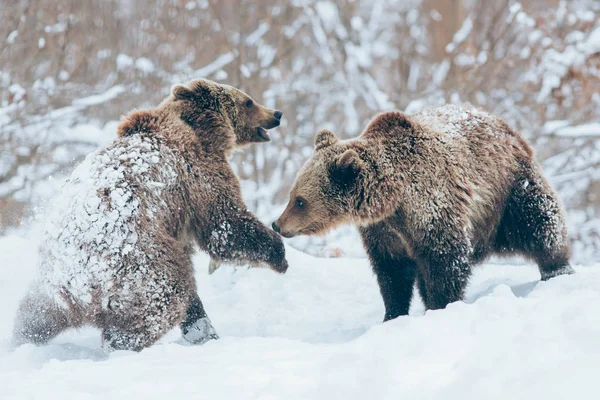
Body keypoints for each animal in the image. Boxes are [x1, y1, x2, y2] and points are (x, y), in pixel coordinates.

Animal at [12, 77, 288, 350]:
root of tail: (75, 285)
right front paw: (279, 254)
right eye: (248, 101)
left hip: (50, 289)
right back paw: (121, 343)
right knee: (166, 297)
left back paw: (20, 338)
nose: (276, 113)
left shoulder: (177, 218)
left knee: (35, 315)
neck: (201, 130)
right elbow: (224, 226)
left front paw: (200, 329)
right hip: (141, 261)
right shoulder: (197, 176)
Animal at [274, 104, 576, 322]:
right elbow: (392, 272)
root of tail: (503, 124)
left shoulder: (432, 207)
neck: (392, 201)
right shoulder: (384, 232)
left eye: (299, 201)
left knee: (540, 223)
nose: (278, 224)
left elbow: (444, 262)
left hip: (508, 190)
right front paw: (393, 314)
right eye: (293, 195)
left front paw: (441, 305)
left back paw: (557, 268)